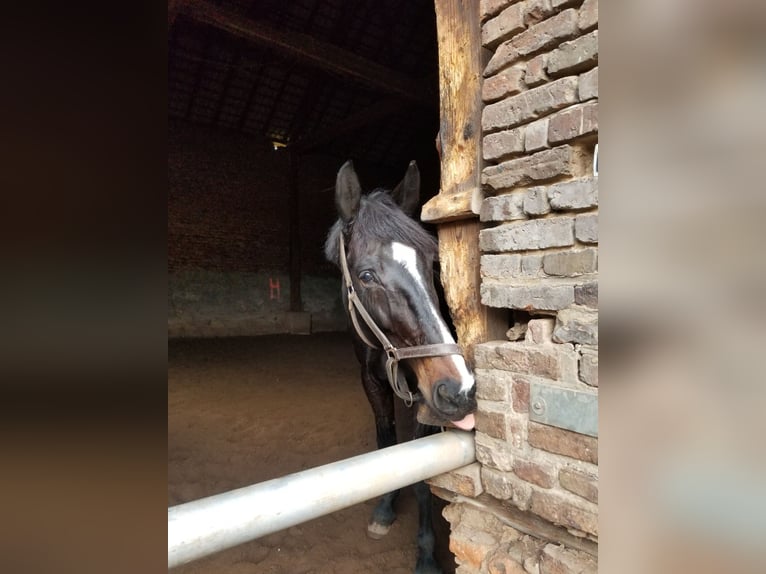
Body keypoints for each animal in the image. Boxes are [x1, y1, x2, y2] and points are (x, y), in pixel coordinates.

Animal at [322, 160, 476, 574]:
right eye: (366, 275)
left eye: (433, 265)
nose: (460, 390)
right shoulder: (371, 381)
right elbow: (387, 446)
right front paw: (385, 508)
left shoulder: (425, 397)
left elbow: (422, 476)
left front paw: (426, 555)